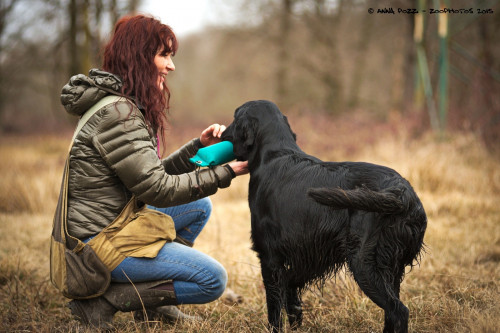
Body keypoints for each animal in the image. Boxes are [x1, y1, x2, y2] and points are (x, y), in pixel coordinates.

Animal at [222, 100, 426, 330]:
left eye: (234, 117)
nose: (221, 136)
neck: (273, 154)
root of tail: (403, 192)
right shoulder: (304, 257)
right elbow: (292, 297)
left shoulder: (269, 257)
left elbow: (274, 311)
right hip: (392, 269)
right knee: (392, 311)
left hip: (365, 263)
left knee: (399, 311)